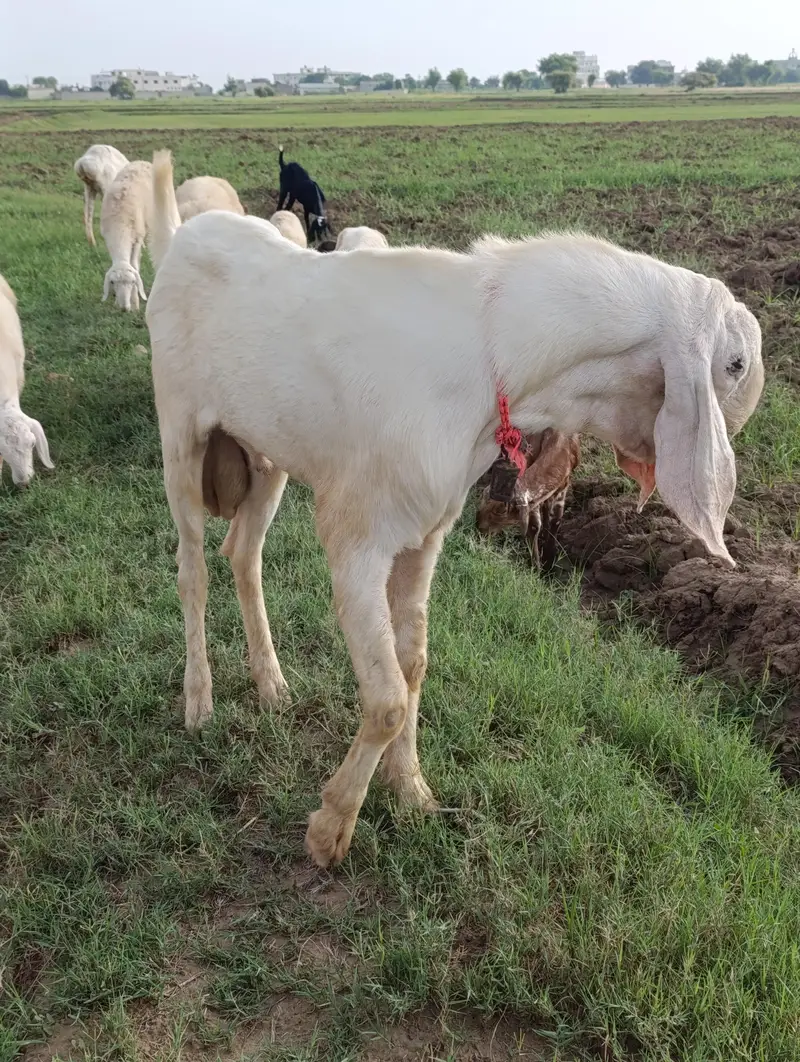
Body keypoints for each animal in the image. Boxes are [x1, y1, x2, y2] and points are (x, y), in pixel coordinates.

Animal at [476, 430, 580, 570]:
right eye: (482, 499)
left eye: (501, 510)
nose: (479, 528)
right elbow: (534, 525)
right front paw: (537, 567)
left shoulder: (564, 484)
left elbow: (555, 520)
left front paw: (550, 557)